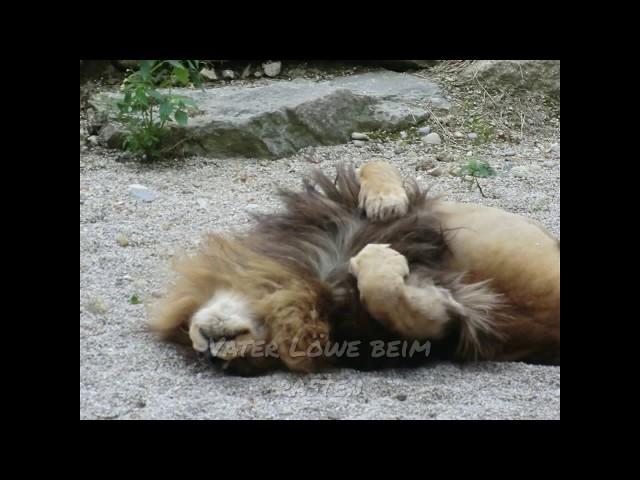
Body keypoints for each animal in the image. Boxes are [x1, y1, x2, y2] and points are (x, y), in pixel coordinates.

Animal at [149, 161, 560, 376]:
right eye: (259, 361)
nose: (210, 355)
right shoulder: (446, 326)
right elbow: (386, 292)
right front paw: (379, 259)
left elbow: (375, 162)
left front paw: (384, 200)